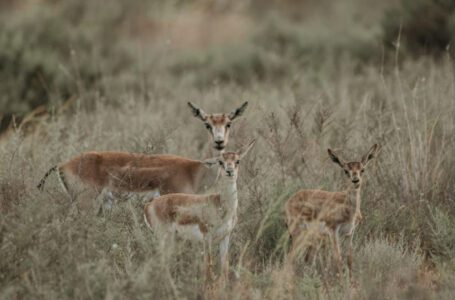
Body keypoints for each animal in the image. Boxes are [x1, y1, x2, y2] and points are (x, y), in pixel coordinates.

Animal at [37, 102, 248, 210]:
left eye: (228, 123)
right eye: (207, 124)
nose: (219, 142)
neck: (195, 171)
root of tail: (62, 164)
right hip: (86, 204)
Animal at [144, 139, 255, 282]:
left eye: (238, 161)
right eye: (220, 162)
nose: (229, 171)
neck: (221, 205)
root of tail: (149, 205)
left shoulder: (225, 237)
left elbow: (224, 267)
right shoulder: (207, 238)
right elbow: (208, 267)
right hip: (163, 238)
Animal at [284, 144, 382, 278]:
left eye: (362, 169)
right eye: (346, 171)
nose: (355, 180)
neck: (348, 209)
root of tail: (290, 200)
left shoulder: (350, 233)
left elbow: (349, 259)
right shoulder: (333, 232)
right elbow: (338, 259)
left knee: (306, 259)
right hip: (298, 234)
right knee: (290, 258)